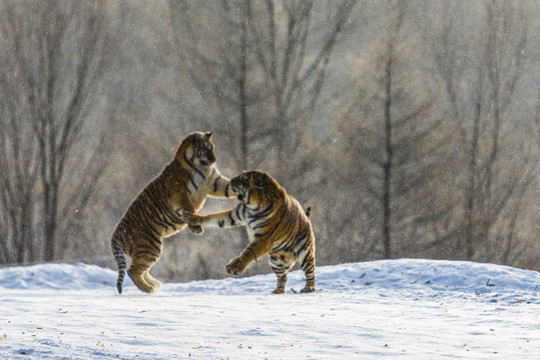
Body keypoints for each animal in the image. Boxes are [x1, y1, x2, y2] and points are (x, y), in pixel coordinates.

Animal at [110, 131, 235, 294]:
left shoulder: (215, 182)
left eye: (212, 148)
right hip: (150, 246)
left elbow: (229, 187)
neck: (202, 168)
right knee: (133, 270)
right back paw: (150, 289)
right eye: (206, 149)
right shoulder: (180, 194)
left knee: (141, 270)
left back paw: (156, 284)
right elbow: (189, 209)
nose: (214, 160)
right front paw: (196, 227)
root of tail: (116, 233)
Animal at [182, 170, 316, 294]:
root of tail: (306, 217)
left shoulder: (264, 239)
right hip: (276, 261)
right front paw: (192, 218)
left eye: (243, 178)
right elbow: (214, 217)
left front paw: (234, 267)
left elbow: (248, 253)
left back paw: (309, 288)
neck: (253, 207)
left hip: (305, 253)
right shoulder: (234, 216)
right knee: (283, 276)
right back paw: (279, 290)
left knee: (310, 272)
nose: (231, 180)